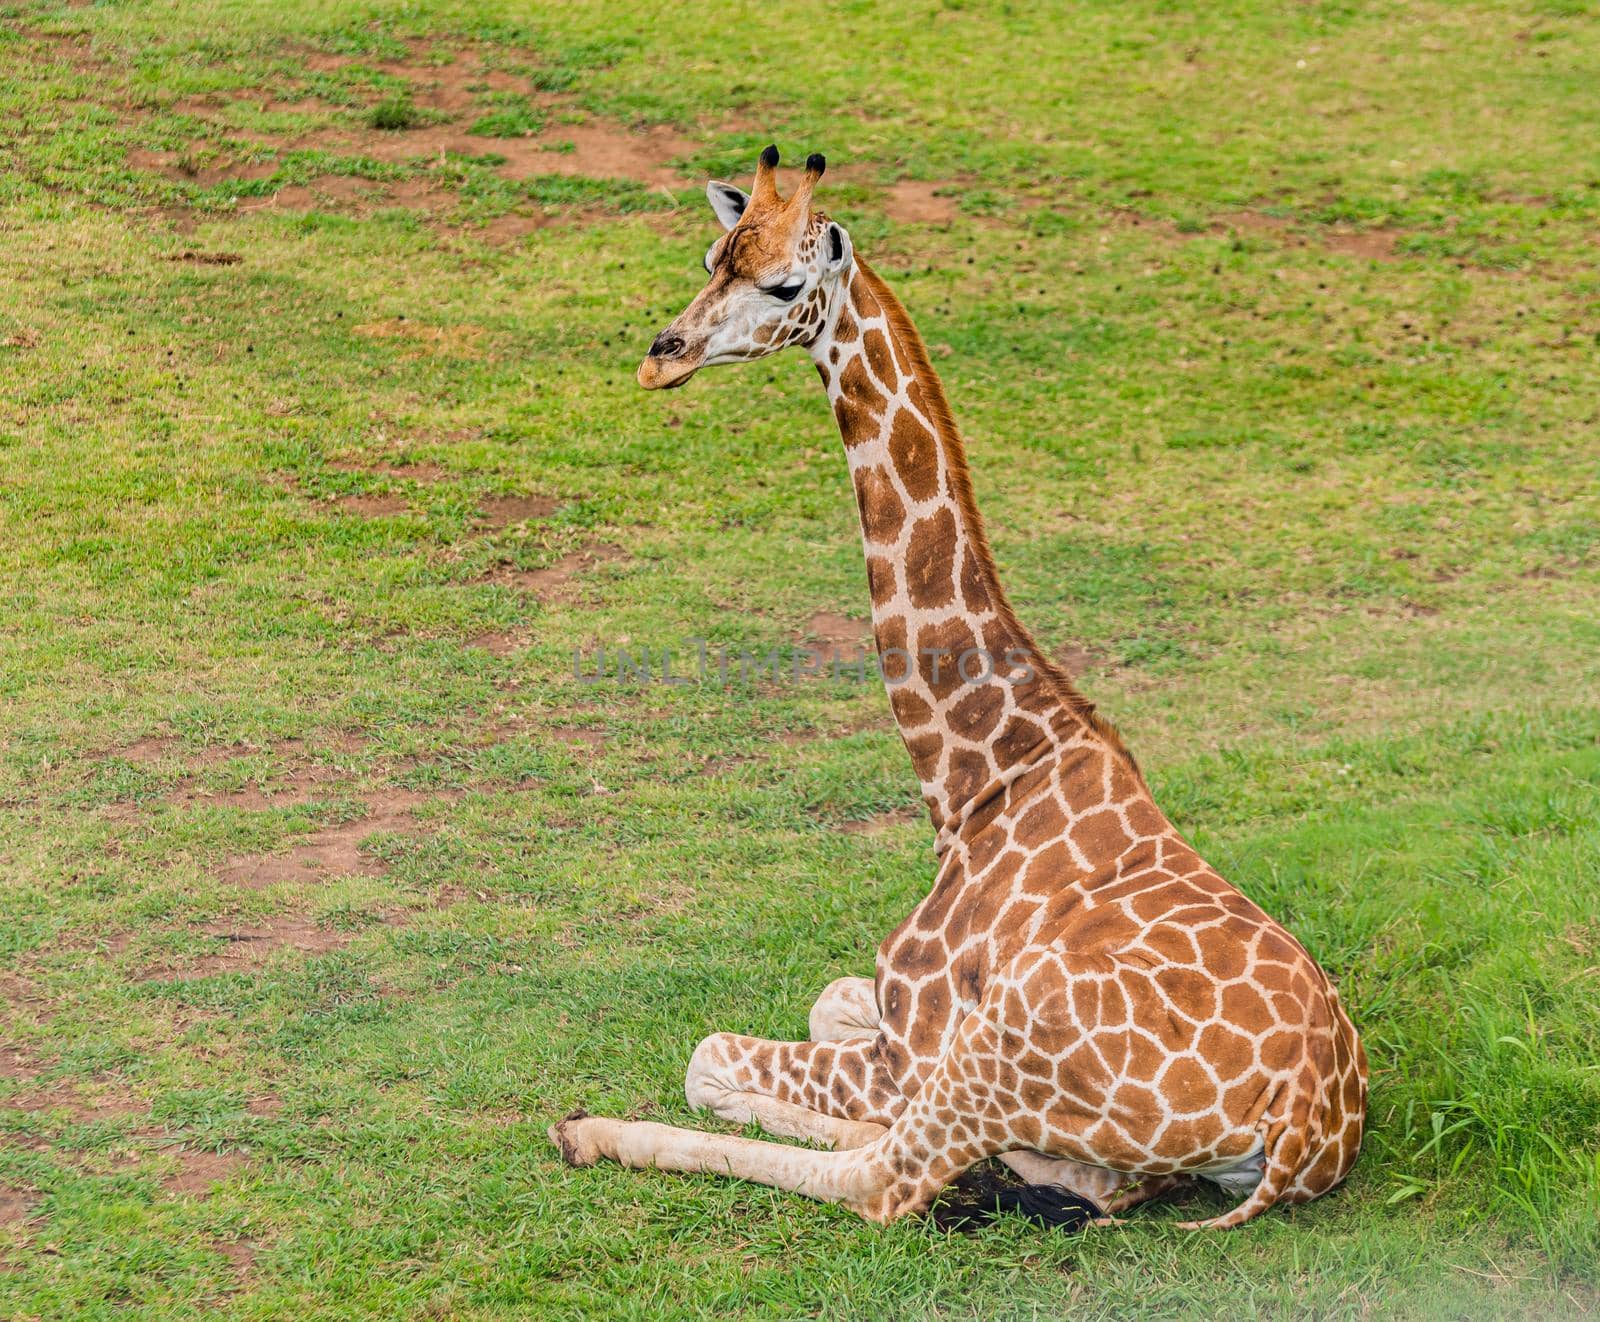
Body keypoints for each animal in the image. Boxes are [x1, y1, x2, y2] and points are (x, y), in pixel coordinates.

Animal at [550, 146, 1363, 1229]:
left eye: (785, 287)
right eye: (714, 255)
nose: (662, 355)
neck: (978, 774)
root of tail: (1309, 1131)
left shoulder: (912, 1042)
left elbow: (709, 1056)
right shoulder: (894, 1021)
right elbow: (822, 998)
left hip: (1013, 1040)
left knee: (883, 1179)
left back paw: (591, 1132)